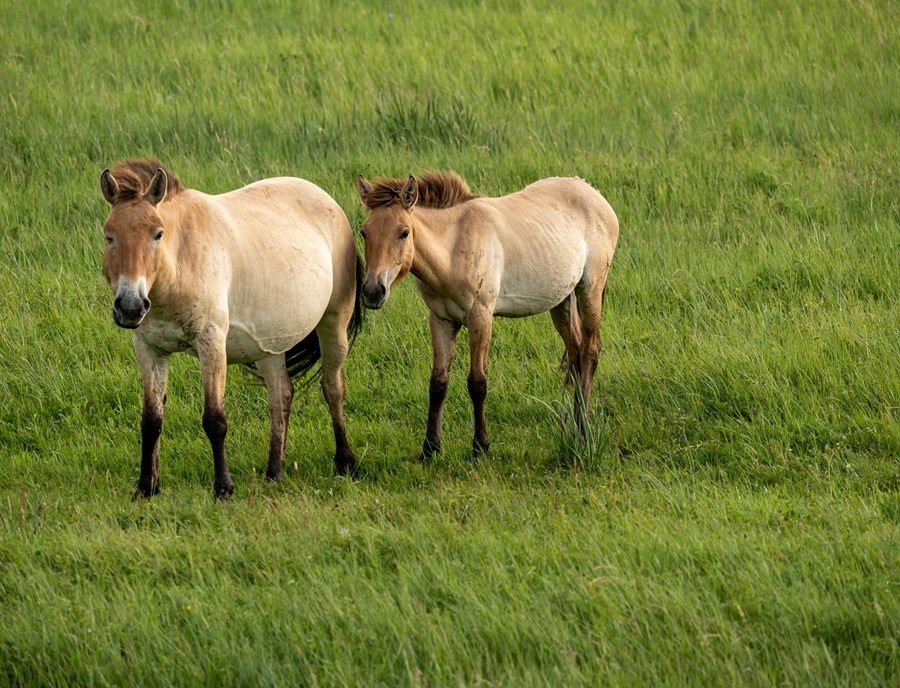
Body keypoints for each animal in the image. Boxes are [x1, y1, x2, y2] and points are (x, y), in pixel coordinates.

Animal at [100, 159, 364, 499]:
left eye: (157, 234)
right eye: (109, 236)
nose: (130, 306)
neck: (180, 264)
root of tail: (329, 202)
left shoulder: (211, 343)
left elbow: (214, 420)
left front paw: (223, 487)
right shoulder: (150, 349)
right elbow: (151, 419)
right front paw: (146, 487)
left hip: (334, 322)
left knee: (332, 388)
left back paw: (346, 463)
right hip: (270, 346)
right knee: (281, 396)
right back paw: (274, 472)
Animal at [357, 172, 618, 459]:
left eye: (404, 232)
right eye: (364, 232)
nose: (372, 291)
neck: (453, 248)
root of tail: (593, 193)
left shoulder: (480, 317)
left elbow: (477, 383)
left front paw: (480, 446)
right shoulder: (441, 320)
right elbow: (438, 383)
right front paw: (430, 448)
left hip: (590, 289)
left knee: (589, 352)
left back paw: (583, 431)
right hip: (561, 300)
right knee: (575, 353)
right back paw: (573, 423)